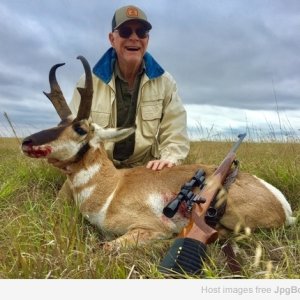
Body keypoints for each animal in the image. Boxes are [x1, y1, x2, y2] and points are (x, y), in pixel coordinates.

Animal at [21, 55, 296, 251]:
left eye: (79, 129)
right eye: (59, 124)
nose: (26, 141)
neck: (111, 187)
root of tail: (282, 203)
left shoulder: (148, 228)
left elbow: (105, 247)